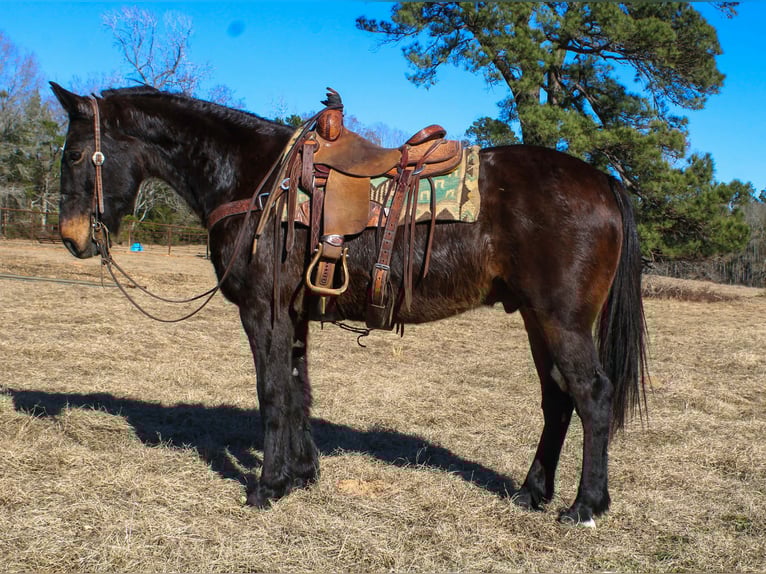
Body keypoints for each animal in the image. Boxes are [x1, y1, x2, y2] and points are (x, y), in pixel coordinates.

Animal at [50, 82, 647, 527]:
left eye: (75, 153)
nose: (72, 237)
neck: (255, 179)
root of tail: (602, 180)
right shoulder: (293, 314)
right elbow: (298, 388)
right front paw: (302, 474)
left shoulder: (262, 310)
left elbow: (272, 391)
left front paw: (267, 486)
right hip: (534, 319)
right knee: (557, 400)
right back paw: (531, 492)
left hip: (562, 321)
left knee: (592, 397)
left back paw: (586, 506)